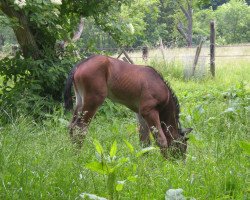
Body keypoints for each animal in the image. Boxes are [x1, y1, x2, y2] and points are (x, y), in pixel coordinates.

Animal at [63, 54, 192, 156]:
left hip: (80, 101)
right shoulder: (149, 111)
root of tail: (80, 64)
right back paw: (78, 155)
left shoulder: (140, 114)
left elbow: (144, 140)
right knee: (80, 128)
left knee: (71, 126)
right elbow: (161, 139)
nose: (181, 163)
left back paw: (72, 152)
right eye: (182, 146)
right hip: (94, 100)